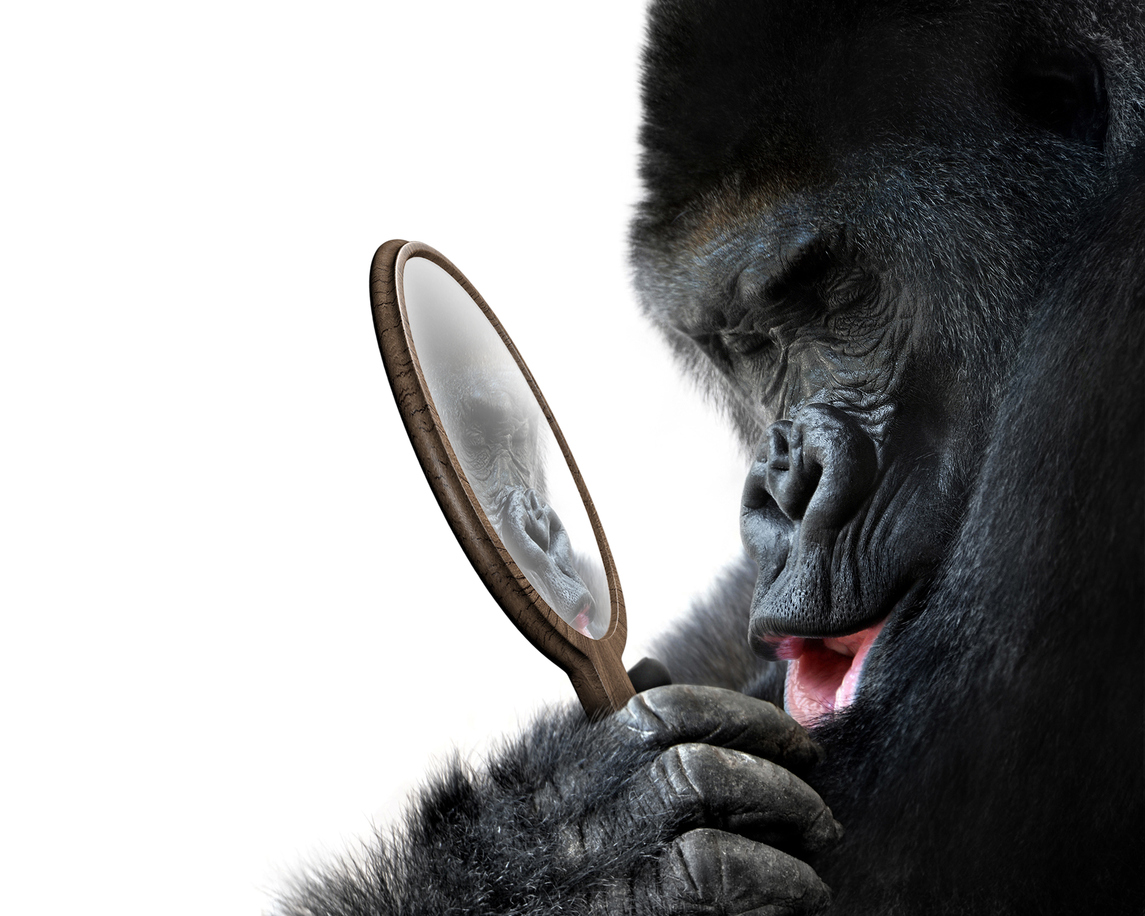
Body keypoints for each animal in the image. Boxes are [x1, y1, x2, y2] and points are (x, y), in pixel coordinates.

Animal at [276, 1, 1144, 913]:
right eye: (746, 344)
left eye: (837, 302)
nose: (782, 493)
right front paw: (563, 851)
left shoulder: (1106, 344)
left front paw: (580, 858)